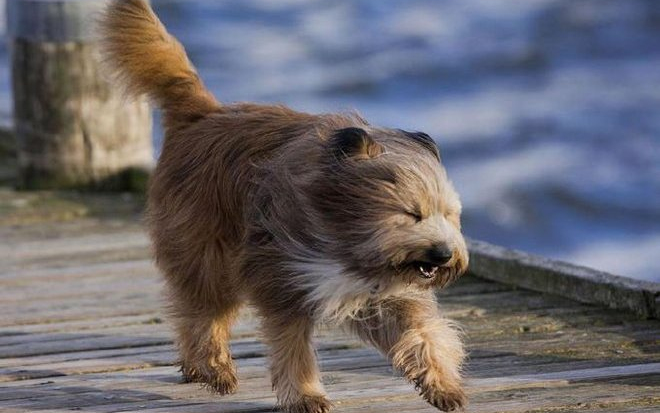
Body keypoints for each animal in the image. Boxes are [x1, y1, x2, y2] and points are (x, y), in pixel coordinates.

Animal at [98, 1, 470, 410]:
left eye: (449, 215)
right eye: (411, 213)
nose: (443, 254)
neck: (343, 235)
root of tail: (204, 114)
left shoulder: (386, 295)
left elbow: (423, 333)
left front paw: (442, 384)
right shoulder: (283, 280)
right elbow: (293, 349)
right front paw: (306, 395)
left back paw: (198, 368)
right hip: (208, 255)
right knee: (202, 315)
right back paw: (214, 368)